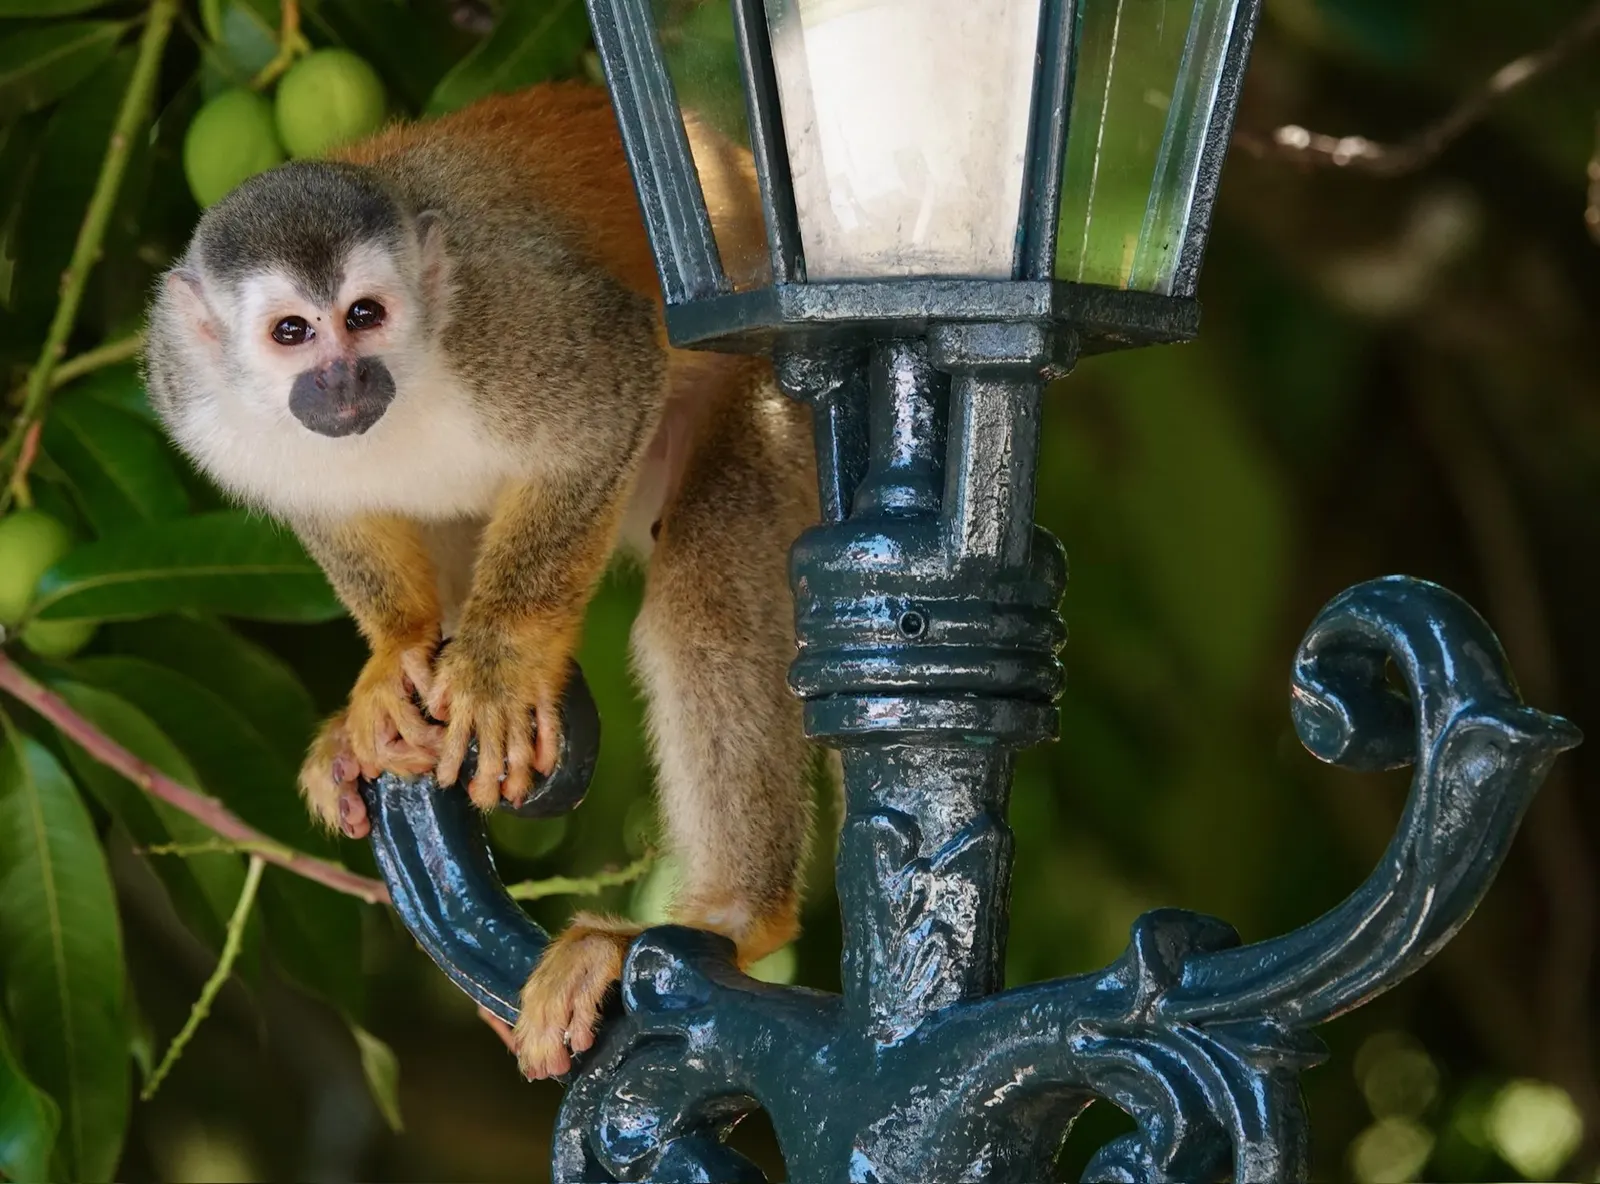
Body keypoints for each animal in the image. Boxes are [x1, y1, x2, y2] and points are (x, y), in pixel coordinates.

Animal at [142, 82, 818, 1080]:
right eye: (292, 333)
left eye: (366, 315)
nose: (343, 381)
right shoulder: (189, 391)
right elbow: (321, 509)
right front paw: (394, 655)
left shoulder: (510, 322)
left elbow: (612, 388)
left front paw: (499, 669)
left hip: (774, 393)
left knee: (705, 598)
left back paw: (728, 919)